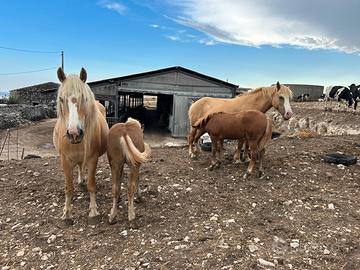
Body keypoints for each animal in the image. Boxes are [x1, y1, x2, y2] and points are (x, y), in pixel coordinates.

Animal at [52, 67, 108, 224]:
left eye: (84, 98)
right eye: (61, 99)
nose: (74, 133)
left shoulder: (93, 158)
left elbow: (91, 185)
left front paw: (93, 212)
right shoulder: (65, 161)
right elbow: (69, 188)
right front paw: (66, 214)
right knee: (79, 167)